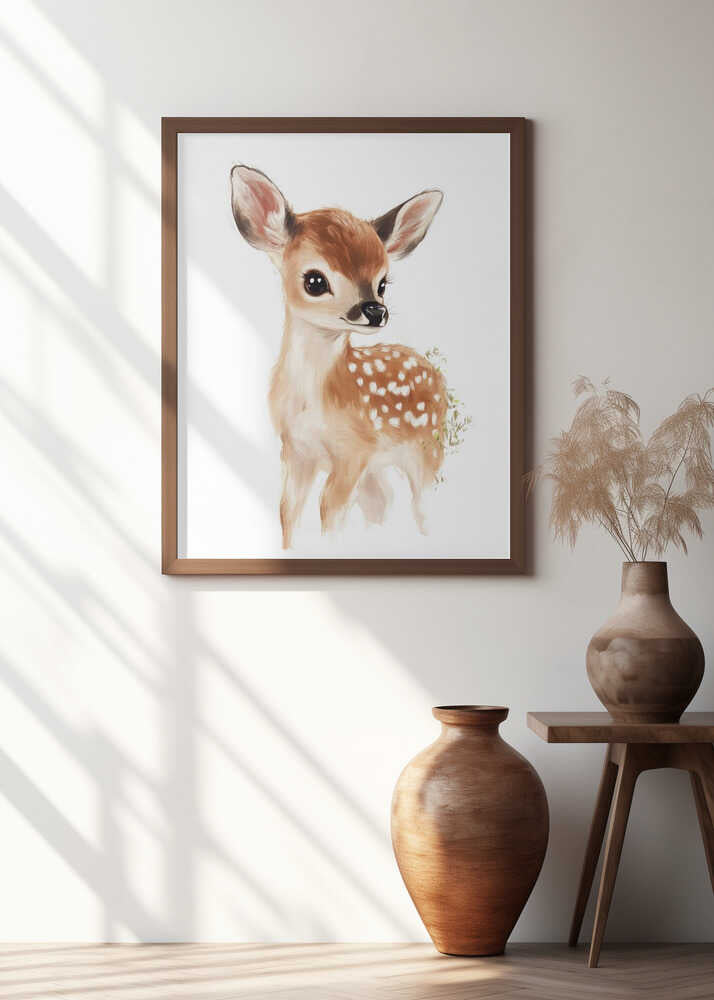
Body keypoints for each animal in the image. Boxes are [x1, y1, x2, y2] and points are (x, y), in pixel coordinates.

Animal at [230, 164, 447, 549]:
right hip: (381, 466)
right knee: (382, 501)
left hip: (427, 450)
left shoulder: (354, 451)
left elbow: (328, 512)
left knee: (422, 507)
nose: (375, 310)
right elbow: (287, 512)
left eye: (383, 283)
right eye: (315, 281)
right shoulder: (296, 450)